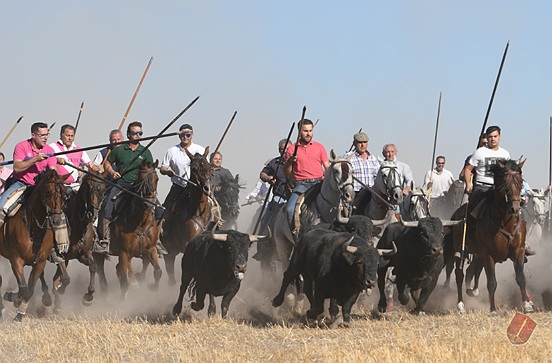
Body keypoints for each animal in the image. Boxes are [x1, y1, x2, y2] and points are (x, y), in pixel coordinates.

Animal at [0, 170, 70, 322]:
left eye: (64, 194)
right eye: (48, 191)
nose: (56, 221)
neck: (32, 227)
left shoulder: (40, 262)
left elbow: (29, 289)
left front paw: (19, 313)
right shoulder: (16, 260)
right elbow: (24, 288)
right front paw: (12, 298)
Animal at [93, 161, 161, 300]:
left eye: (156, 179)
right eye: (141, 180)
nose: (150, 204)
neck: (140, 222)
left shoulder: (150, 249)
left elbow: (158, 271)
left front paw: (153, 287)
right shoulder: (123, 252)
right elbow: (124, 281)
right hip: (99, 252)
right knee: (101, 270)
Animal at [448, 161, 536, 314]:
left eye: (520, 182)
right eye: (505, 183)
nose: (514, 208)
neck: (505, 223)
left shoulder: (518, 251)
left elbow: (521, 278)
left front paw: (527, 305)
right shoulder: (489, 255)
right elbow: (492, 282)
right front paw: (493, 309)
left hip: (478, 254)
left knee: (473, 270)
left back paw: (473, 290)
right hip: (462, 251)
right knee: (459, 274)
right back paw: (461, 305)